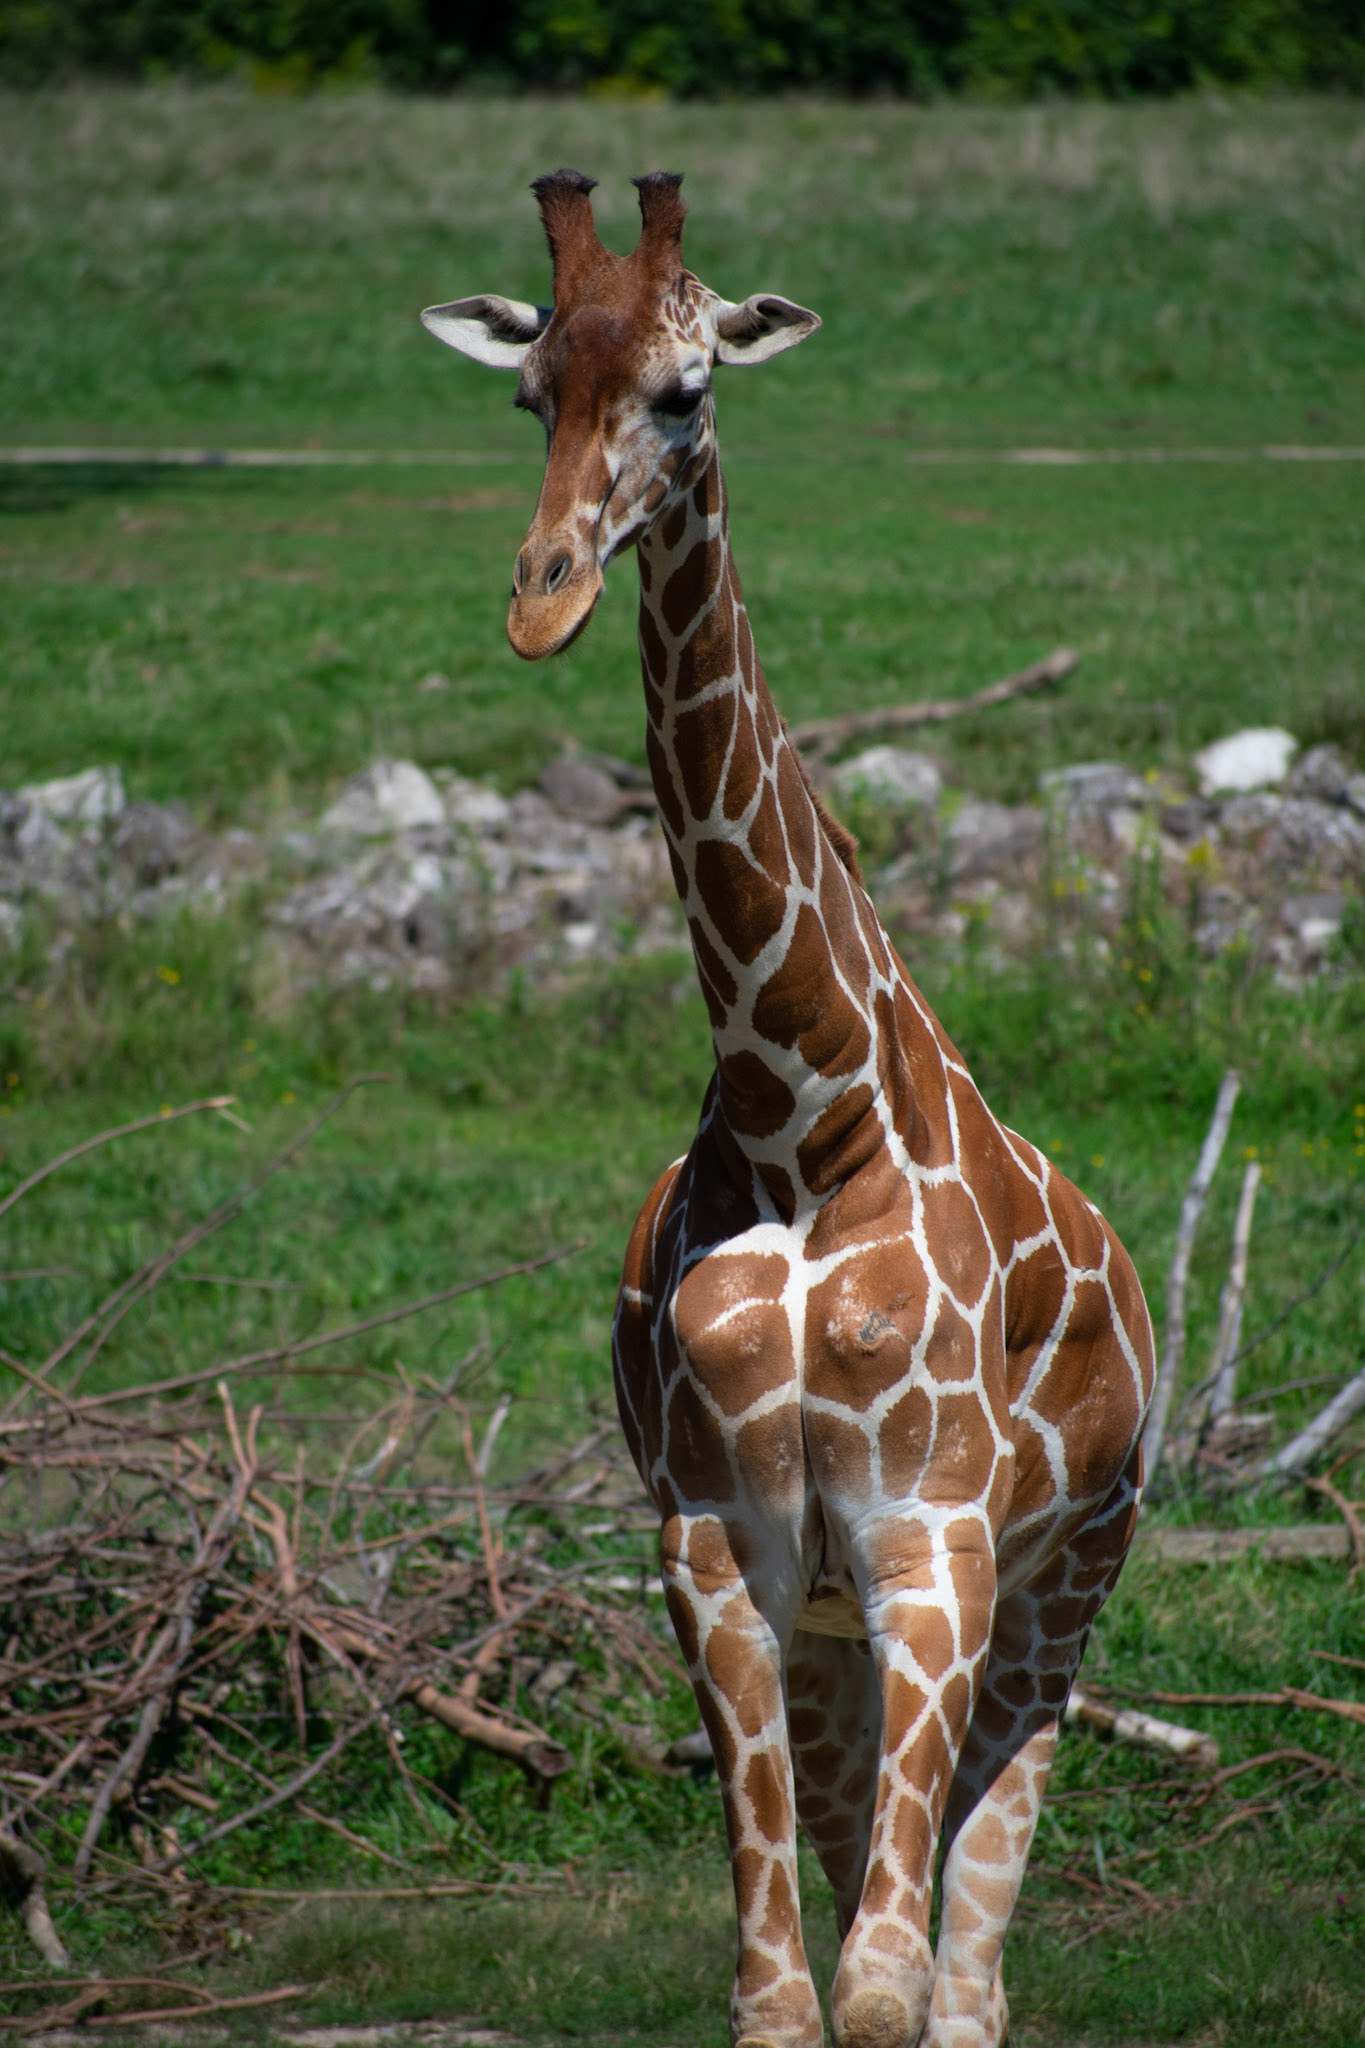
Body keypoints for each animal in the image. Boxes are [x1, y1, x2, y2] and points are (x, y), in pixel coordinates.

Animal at [423, 170, 1155, 2048]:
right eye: (528, 392)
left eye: (687, 392)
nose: (541, 599)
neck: (802, 1105)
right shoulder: (721, 1557)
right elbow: (784, 1996)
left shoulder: (935, 1548)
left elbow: (889, 1991)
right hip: (839, 1647)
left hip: (1065, 1594)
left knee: (970, 1971)